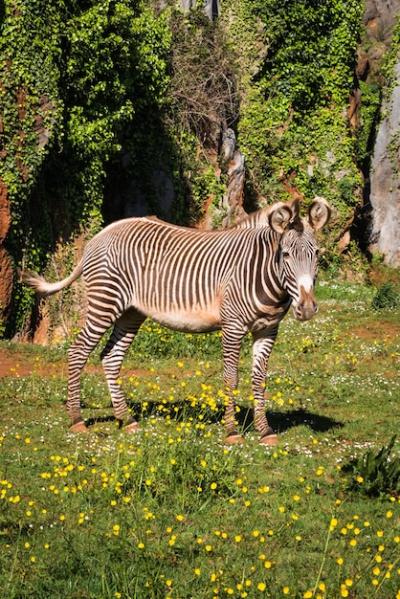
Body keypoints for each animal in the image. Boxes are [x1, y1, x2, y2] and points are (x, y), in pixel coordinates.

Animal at [24, 198, 332, 446]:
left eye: (317, 254)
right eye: (286, 255)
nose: (307, 308)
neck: (262, 273)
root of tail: (101, 234)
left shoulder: (268, 329)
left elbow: (259, 380)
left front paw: (265, 431)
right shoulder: (232, 326)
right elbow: (231, 378)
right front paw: (232, 431)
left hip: (130, 312)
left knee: (110, 358)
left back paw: (126, 419)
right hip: (104, 303)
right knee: (78, 352)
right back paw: (76, 419)